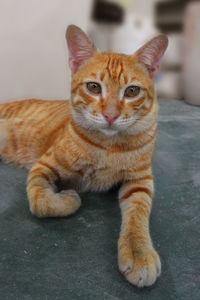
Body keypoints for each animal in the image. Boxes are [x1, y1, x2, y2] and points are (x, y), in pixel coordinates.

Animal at [0, 24, 167, 288]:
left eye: (132, 91)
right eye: (94, 87)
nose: (110, 115)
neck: (109, 146)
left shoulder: (140, 181)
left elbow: (138, 215)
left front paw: (139, 251)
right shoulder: (42, 166)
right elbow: (42, 202)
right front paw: (68, 197)